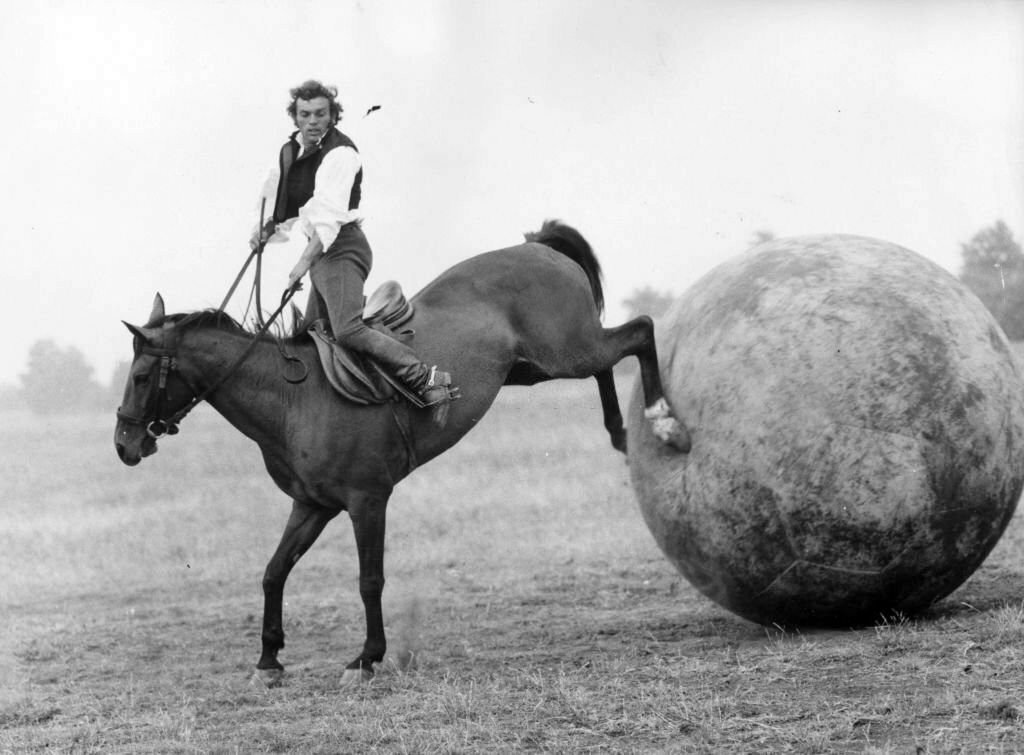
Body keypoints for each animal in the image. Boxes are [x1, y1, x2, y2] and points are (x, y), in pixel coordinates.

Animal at [114, 219, 688, 688]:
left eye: (141, 376)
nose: (124, 445)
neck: (293, 399)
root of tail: (538, 247)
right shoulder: (312, 505)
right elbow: (274, 572)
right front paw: (268, 660)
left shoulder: (367, 501)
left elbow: (370, 580)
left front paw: (367, 658)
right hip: (540, 364)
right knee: (612, 358)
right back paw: (619, 431)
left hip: (567, 349)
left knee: (640, 331)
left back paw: (664, 420)